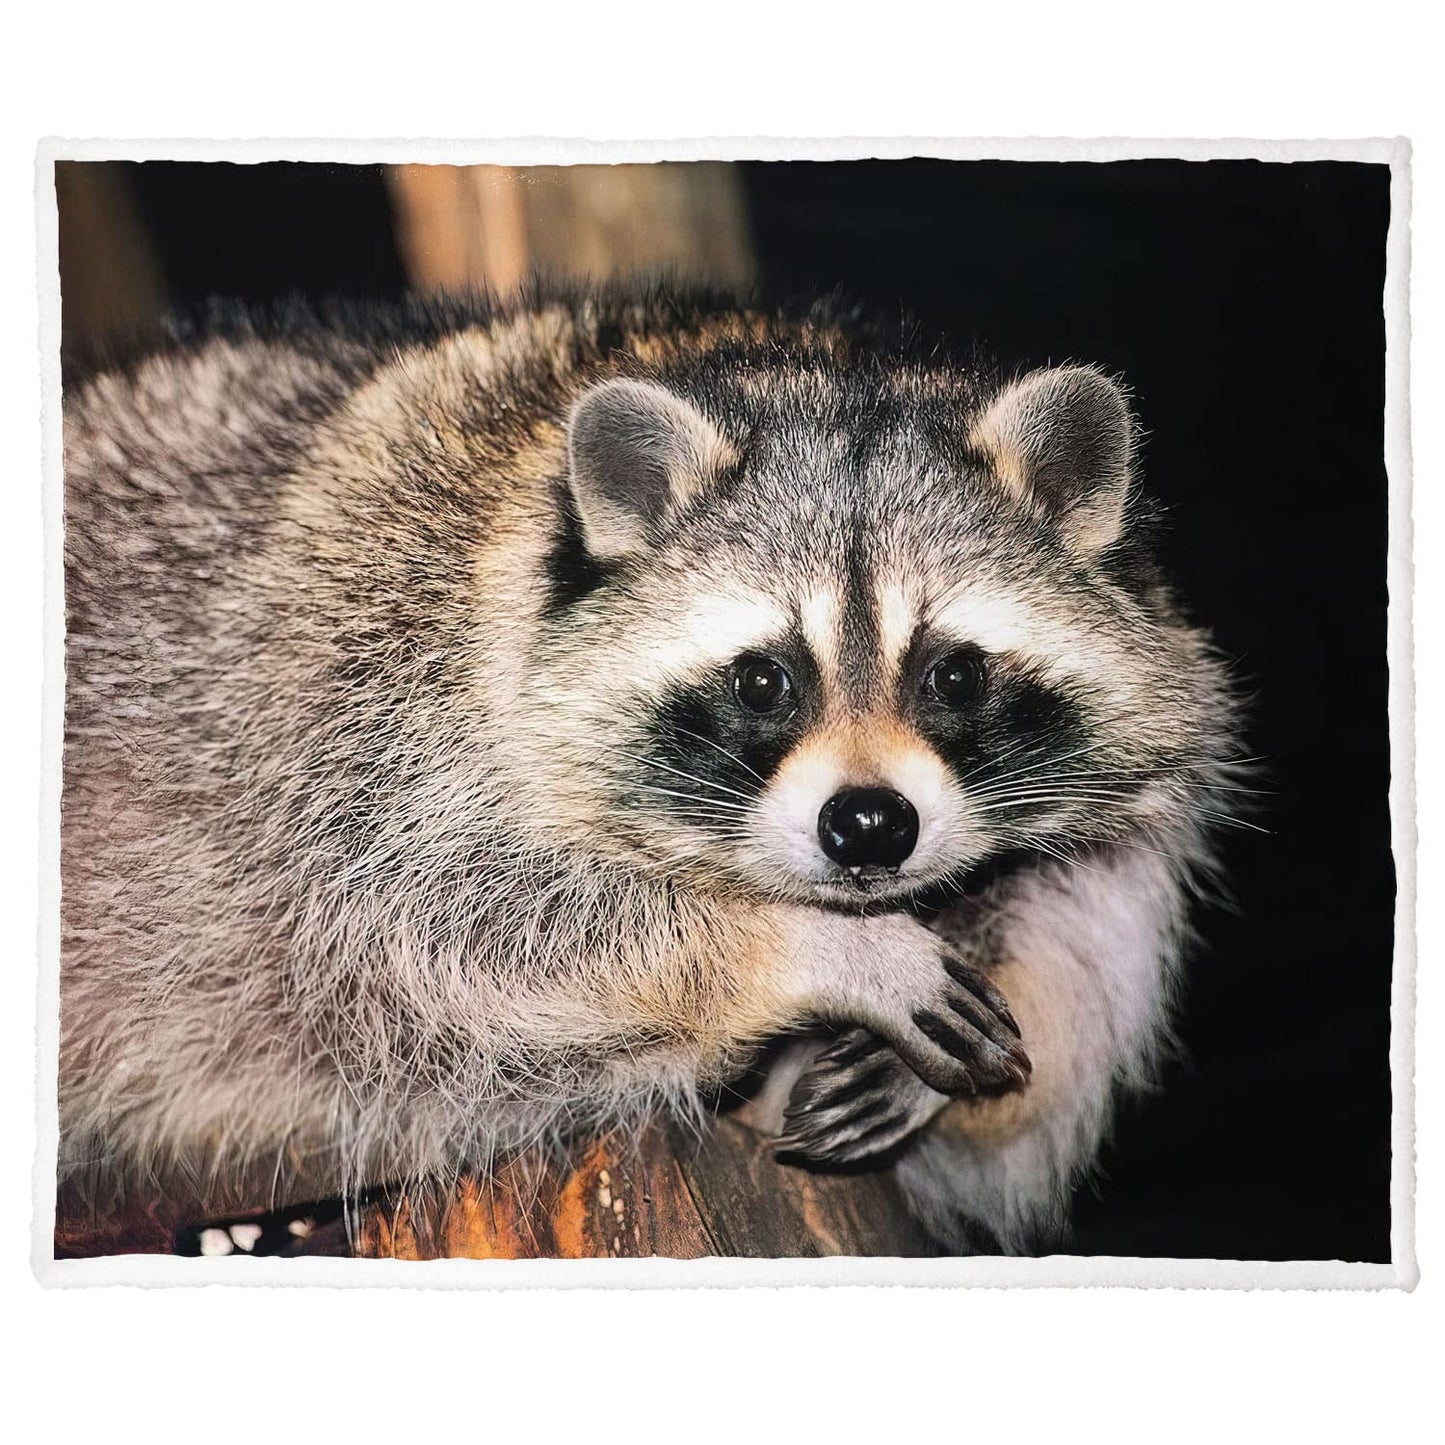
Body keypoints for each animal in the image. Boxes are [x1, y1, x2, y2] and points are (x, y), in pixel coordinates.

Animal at [59, 287, 1242, 1254]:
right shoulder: (362, 730)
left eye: (953, 673)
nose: (868, 825)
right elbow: (446, 935)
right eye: (764, 681)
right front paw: (808, 951)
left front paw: (971, 994)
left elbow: (1089, 920)